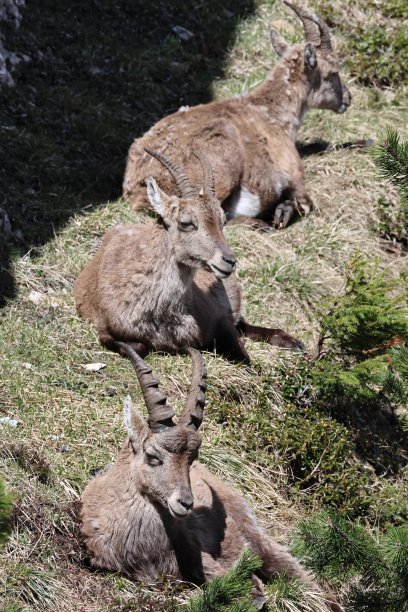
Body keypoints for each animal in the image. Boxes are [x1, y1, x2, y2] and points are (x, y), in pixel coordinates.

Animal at [75, 148, 302, 360]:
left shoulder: (220, 318)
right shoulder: (105, 329)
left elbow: (240, 351)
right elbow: (138, 347)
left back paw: (294, 342)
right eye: (186, 222)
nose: (229, 261)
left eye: (222, 221)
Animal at [123, 0, 350, 230]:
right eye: (334, 71)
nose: (347, 99)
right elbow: (305, 203)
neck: (272, 114)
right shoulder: (294, 174)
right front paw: (281, 214)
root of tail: (138, 189)